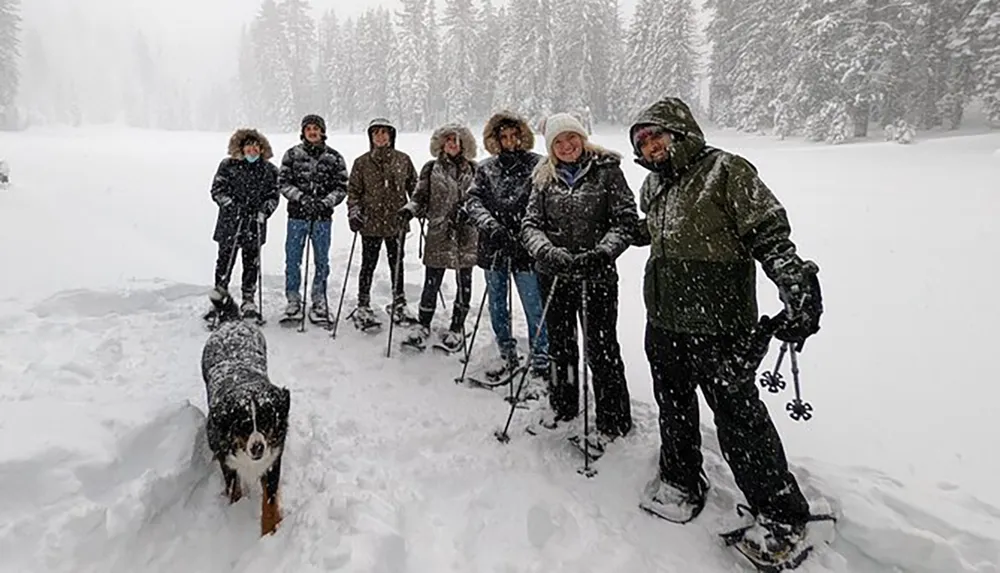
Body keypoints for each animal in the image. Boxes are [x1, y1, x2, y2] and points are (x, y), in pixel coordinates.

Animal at [201, 288, 290, 536]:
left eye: (266, 421)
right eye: (243, 425)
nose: (257, 446)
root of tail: (233, 321)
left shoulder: (273, 460)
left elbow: (269, 500)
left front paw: (270, 532)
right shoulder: (227, 461)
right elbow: (234, 490)